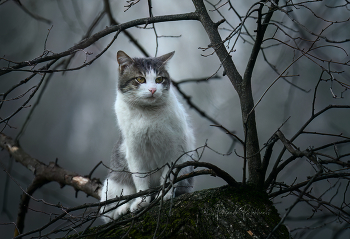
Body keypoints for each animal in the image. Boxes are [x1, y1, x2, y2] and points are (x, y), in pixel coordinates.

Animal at [100, 50, 196, 222]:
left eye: (159, 79)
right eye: (140, 79)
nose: (152, 89)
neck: (147, 114)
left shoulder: (176, 149)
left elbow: (168, 176)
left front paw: (165, 195)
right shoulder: (134, 152)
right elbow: (140, 180)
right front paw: (141, 202)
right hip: (112, 184)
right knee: (109, 212)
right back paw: (123, 209)